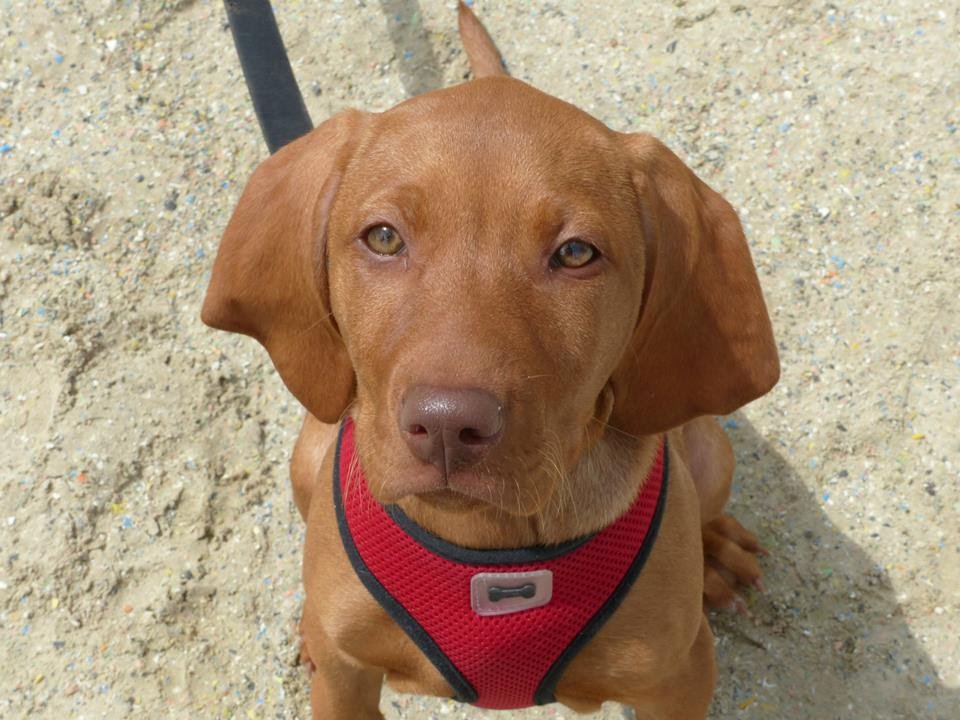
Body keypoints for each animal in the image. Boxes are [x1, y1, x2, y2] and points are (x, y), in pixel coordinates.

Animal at [202, 3, 779, 717]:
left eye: (576, 253)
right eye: (384, 237)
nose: (448, 426)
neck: (489, 546)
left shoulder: (678, 677)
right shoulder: (345, 679)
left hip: (710, 452)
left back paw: (715, 550)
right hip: (308, 460)